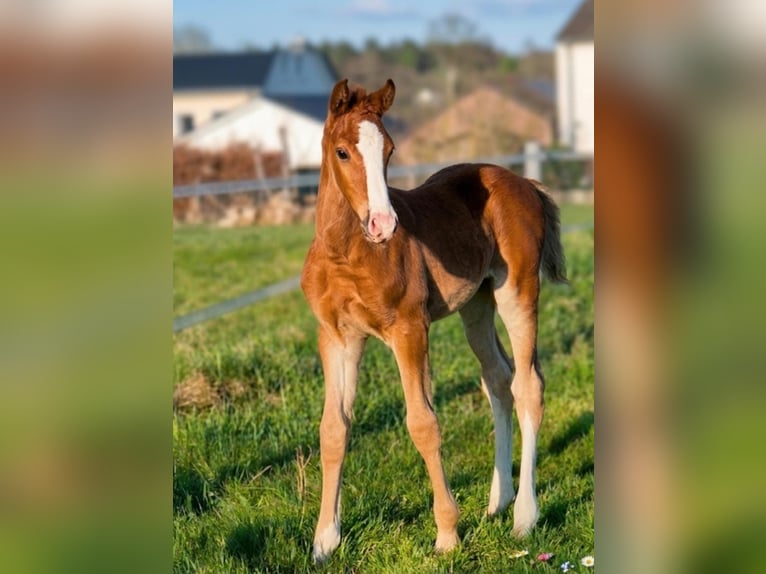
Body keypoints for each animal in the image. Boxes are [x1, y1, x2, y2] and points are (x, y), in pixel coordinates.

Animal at [300, 78, 567, 562]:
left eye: (389, 150)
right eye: (343, 152)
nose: (383, 224)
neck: (345, 253)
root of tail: (524, 182)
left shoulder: (409, 329)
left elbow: (423, 424)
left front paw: (446, 535)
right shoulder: (337, 337)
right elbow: (333, 429)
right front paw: (325, 540)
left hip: (517, 291)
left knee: (528, 384)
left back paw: (524, 517)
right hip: (476, 304)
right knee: (497, 379)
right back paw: (498, 501)